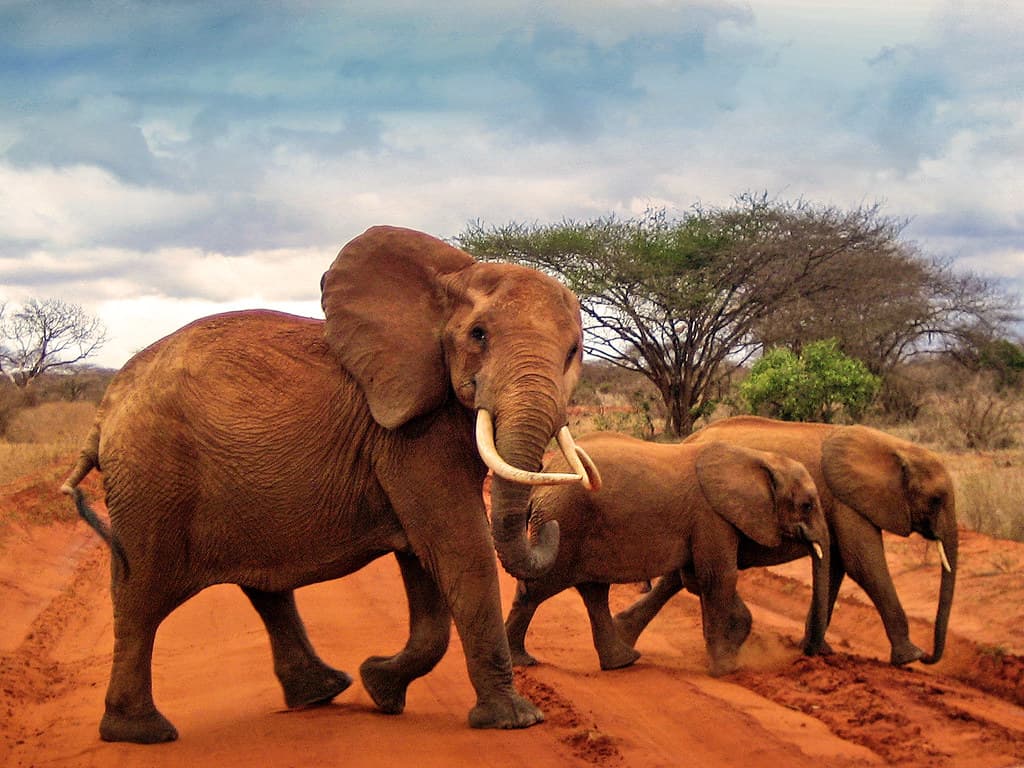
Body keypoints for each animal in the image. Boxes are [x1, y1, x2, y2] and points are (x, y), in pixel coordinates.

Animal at [61, 225, 601, 744]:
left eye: (573, 352)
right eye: (479, 335)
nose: (547, 525)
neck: (449, 281)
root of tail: (104, 412)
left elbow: (425, 561)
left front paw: (380, 688)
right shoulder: (408, 434)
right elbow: (458, 546)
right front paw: (515, 721)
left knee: (261, 586)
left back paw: (324, 691)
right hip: (152, 477)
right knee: (140, 596)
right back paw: (142, 733)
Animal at [504, 431, 830, 677]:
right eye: (807, 505)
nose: (810, 657)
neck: (758, 458)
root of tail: (543, 479)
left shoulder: (707, 522)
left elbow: (696, 578)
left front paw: (731, 651)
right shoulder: (711, 516)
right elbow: (717, 577)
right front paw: (726, 670)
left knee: (593, 592)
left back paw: (622, 661)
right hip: (564, 523)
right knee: (539, 589)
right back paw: (522, 661)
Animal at [614, 416, 956, 667]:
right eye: (936, 500)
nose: (930, 657)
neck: (895, 447)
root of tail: (685, 441)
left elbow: (836, 565)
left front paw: (820, 650)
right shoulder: (847, 501)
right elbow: (863, 564)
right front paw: (909, 658)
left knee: (681, 574)